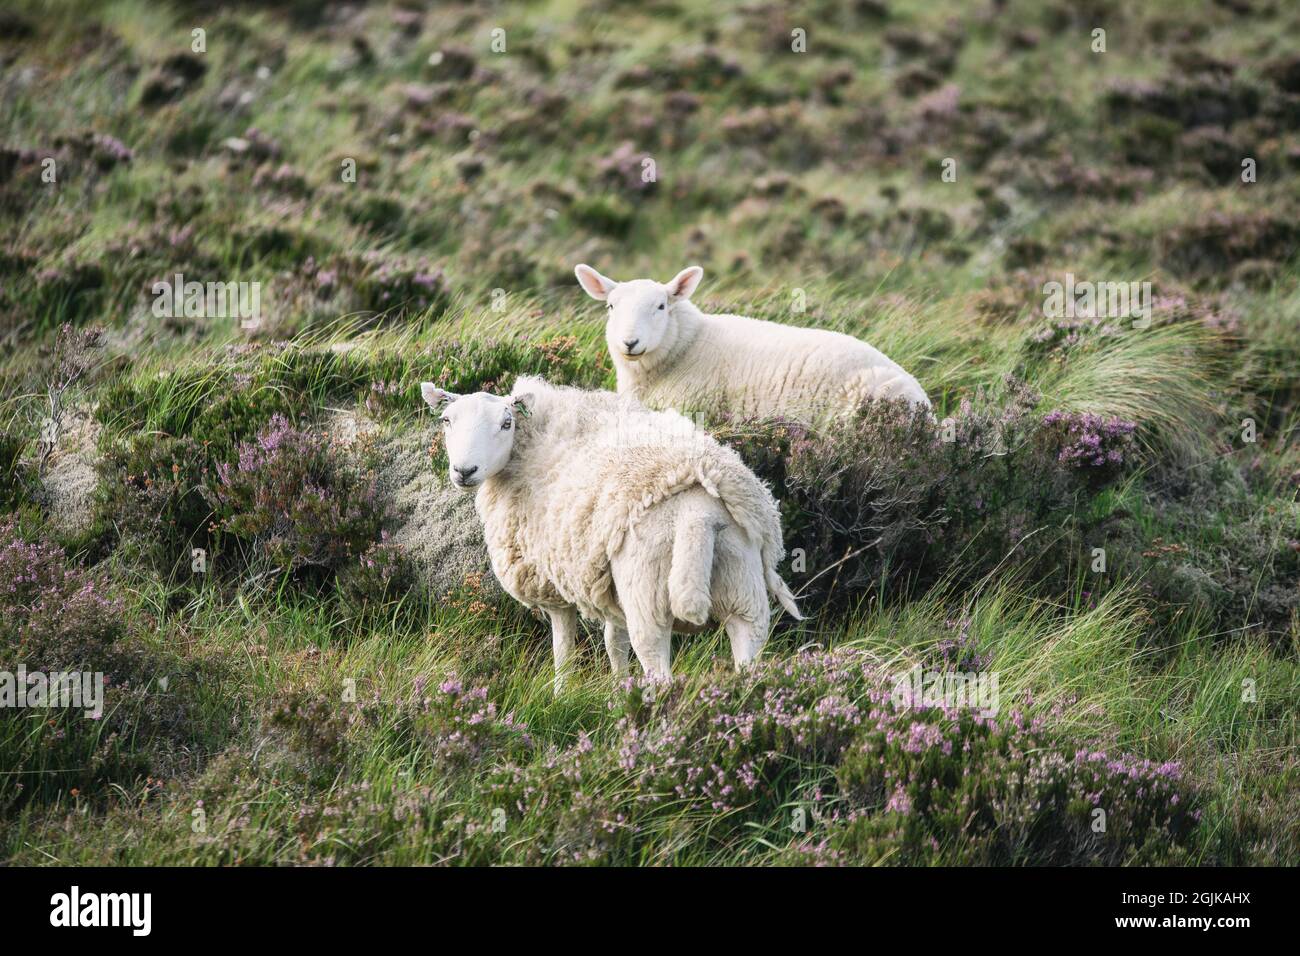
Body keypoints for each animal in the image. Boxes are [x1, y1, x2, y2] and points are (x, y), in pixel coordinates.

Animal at [421, 371, 795, 686]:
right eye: (446, 420)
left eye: (506, 422)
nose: (464, 470)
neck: (528, 444)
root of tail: (698, 513)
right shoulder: (603, 575)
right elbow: (614, 641)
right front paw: (618, 687)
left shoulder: (553, 583)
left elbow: (563, 650)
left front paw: (562, 694)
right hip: (742, 584)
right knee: (748, 652)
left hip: (648, 593)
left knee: (658, 668)